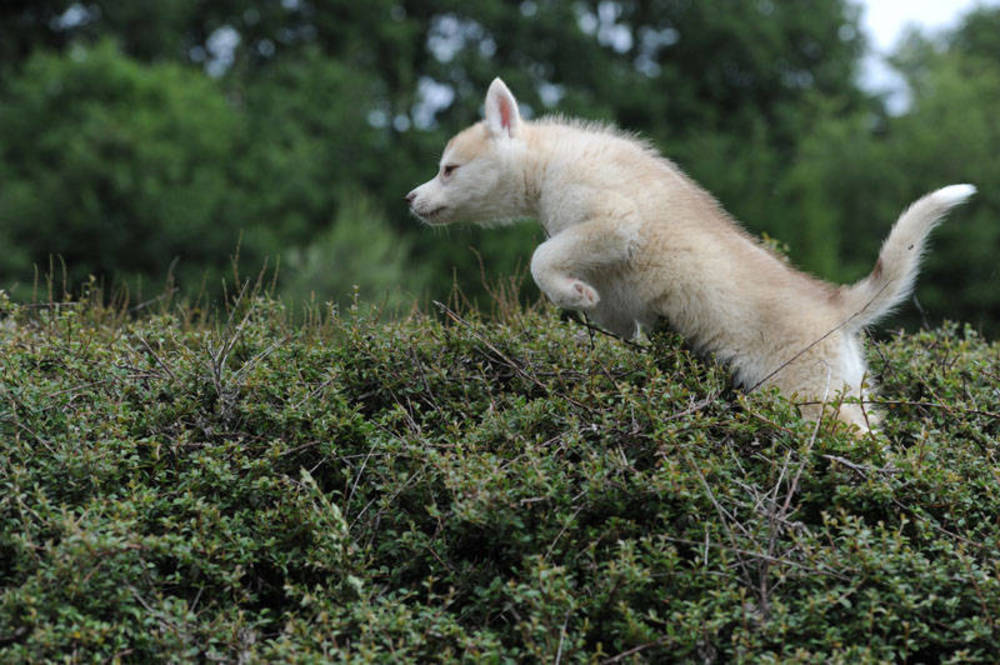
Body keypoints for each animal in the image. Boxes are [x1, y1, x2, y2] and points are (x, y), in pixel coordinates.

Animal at [406, 78, 976, 430]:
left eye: (448, 169)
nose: (411, 199)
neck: (548, 163)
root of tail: (834, 305)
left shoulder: (614, 222)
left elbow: (542, 257)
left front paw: (573, 292)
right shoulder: (624, 303)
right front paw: (583, 301)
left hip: (811, 398)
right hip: (846, 395)